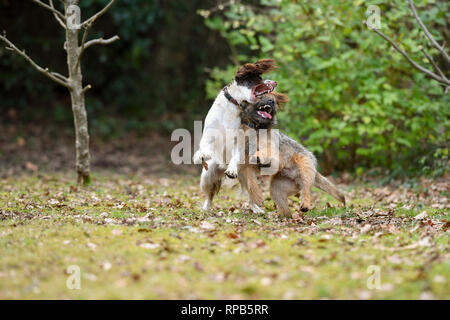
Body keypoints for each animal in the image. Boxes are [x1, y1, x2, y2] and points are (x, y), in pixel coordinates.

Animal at [193, 58, 278, 212]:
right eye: (259, 78)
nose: (275, 82)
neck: (232, 106)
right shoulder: (209, 133)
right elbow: (205, 145)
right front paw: (202, 154)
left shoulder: (238, 139)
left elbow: (236, 154)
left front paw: (232, 170)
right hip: (208, 176)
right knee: (209, 194)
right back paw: (206, 208)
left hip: (248, 174)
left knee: (251, 193)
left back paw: (256, 209)